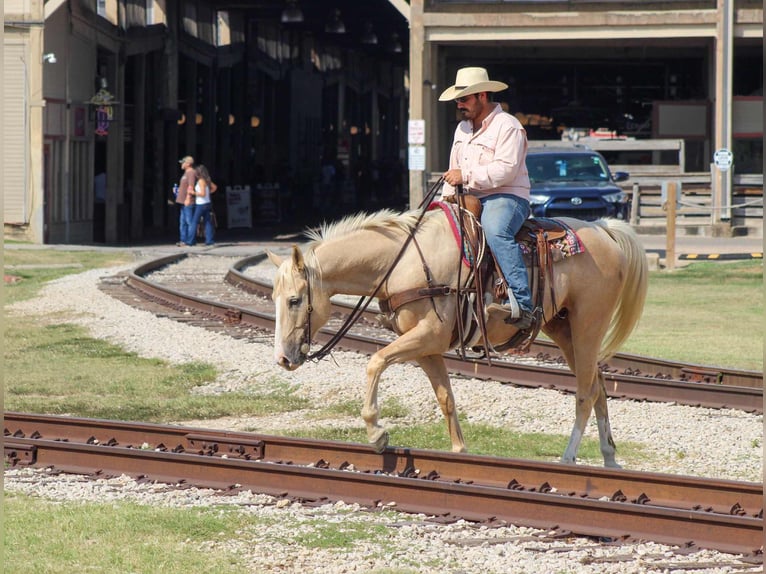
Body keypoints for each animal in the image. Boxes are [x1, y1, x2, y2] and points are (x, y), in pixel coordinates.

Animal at [267, 206, 648, 468]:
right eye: (274, 297)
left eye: (295, 299)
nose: (283, 358)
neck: (402, 260)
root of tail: (603, 231)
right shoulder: (426, 348)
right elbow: (445, 398)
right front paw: (459, 453)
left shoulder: (429, 335)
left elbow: (376, 361)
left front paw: (376, 432)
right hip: (563, 328)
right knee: (598, 383)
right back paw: (609, 458)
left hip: (588, 325)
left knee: (585, 391)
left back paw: (568, 459)